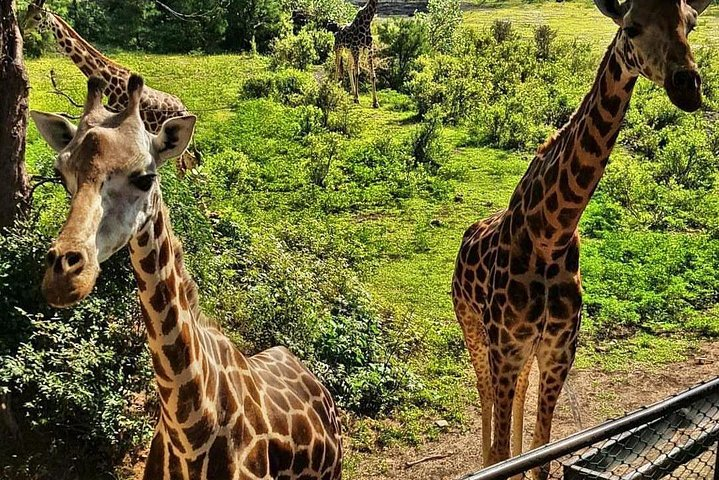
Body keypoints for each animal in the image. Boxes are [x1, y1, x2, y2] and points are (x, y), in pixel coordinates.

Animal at [23, 0, 198, 172]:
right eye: (27, 12)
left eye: (38, 17)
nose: (24, 30)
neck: (110, 81)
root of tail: (184, 108)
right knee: (189, 160)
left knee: (182, 165)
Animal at [452, 0, 712, 476]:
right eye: (632, 27)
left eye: (691, 23)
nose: (687, 86)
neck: (552, 232)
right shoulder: (506, 347)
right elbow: (501, 453)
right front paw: (497, 460)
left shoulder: (557, 352)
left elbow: (540, 457)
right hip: (473, 328)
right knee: (485, 398)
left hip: (520, 353)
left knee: (518, 399)